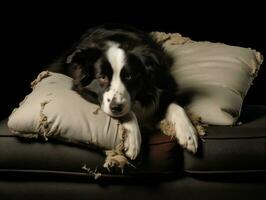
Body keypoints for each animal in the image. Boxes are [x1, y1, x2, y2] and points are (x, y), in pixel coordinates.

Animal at [48, 24, 200, 160]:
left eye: (129, 76)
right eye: (102, 77)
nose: (116, 107)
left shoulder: (164, 84)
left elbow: (175, 105)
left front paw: (188, 133)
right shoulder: (84, 89)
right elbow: (129, 111)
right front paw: (133, 141)